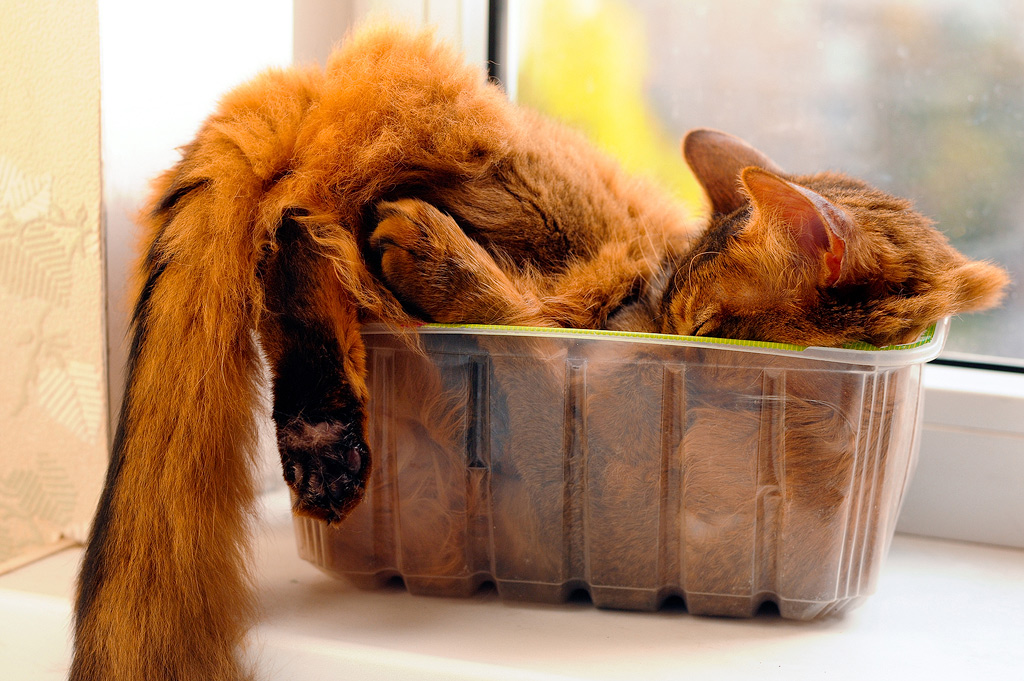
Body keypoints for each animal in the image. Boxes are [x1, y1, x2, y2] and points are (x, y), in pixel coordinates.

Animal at [72, 21, 1007, 679]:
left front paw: (447, 267)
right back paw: (326, 414)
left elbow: (533, 349)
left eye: (705, 327)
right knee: (298, 216)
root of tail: (313, 81)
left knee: (305, 227)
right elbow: (533, 340)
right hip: (485, 170)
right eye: (672, 308)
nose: (644, 329)